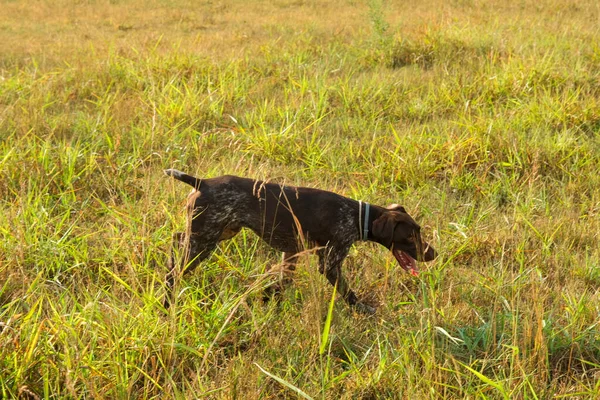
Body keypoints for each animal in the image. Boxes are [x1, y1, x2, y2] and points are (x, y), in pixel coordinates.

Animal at [164, 169, 436, 312]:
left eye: (418, 230)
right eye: (409, 235)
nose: (433, 253)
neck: (356, 216)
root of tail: (202, 182)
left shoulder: (291, 253)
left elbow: (282, 282)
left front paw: (266, 297)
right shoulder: (330, 262)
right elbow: (348, 293)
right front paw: (362, 309)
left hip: (217, 232)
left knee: (176, 241)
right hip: (205, 240)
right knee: (174, 271)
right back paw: (168, 300)